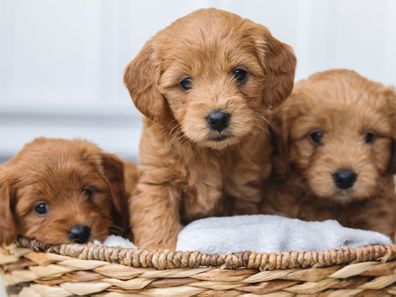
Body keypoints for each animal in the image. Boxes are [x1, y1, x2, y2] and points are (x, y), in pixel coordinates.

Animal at [125, 8, 296, 247]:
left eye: (239, 73)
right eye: (185, 82)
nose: (218, 118)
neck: (210, 152)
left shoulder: (243, 192)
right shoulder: (157, 181)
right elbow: (156, 221)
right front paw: (158, 250)